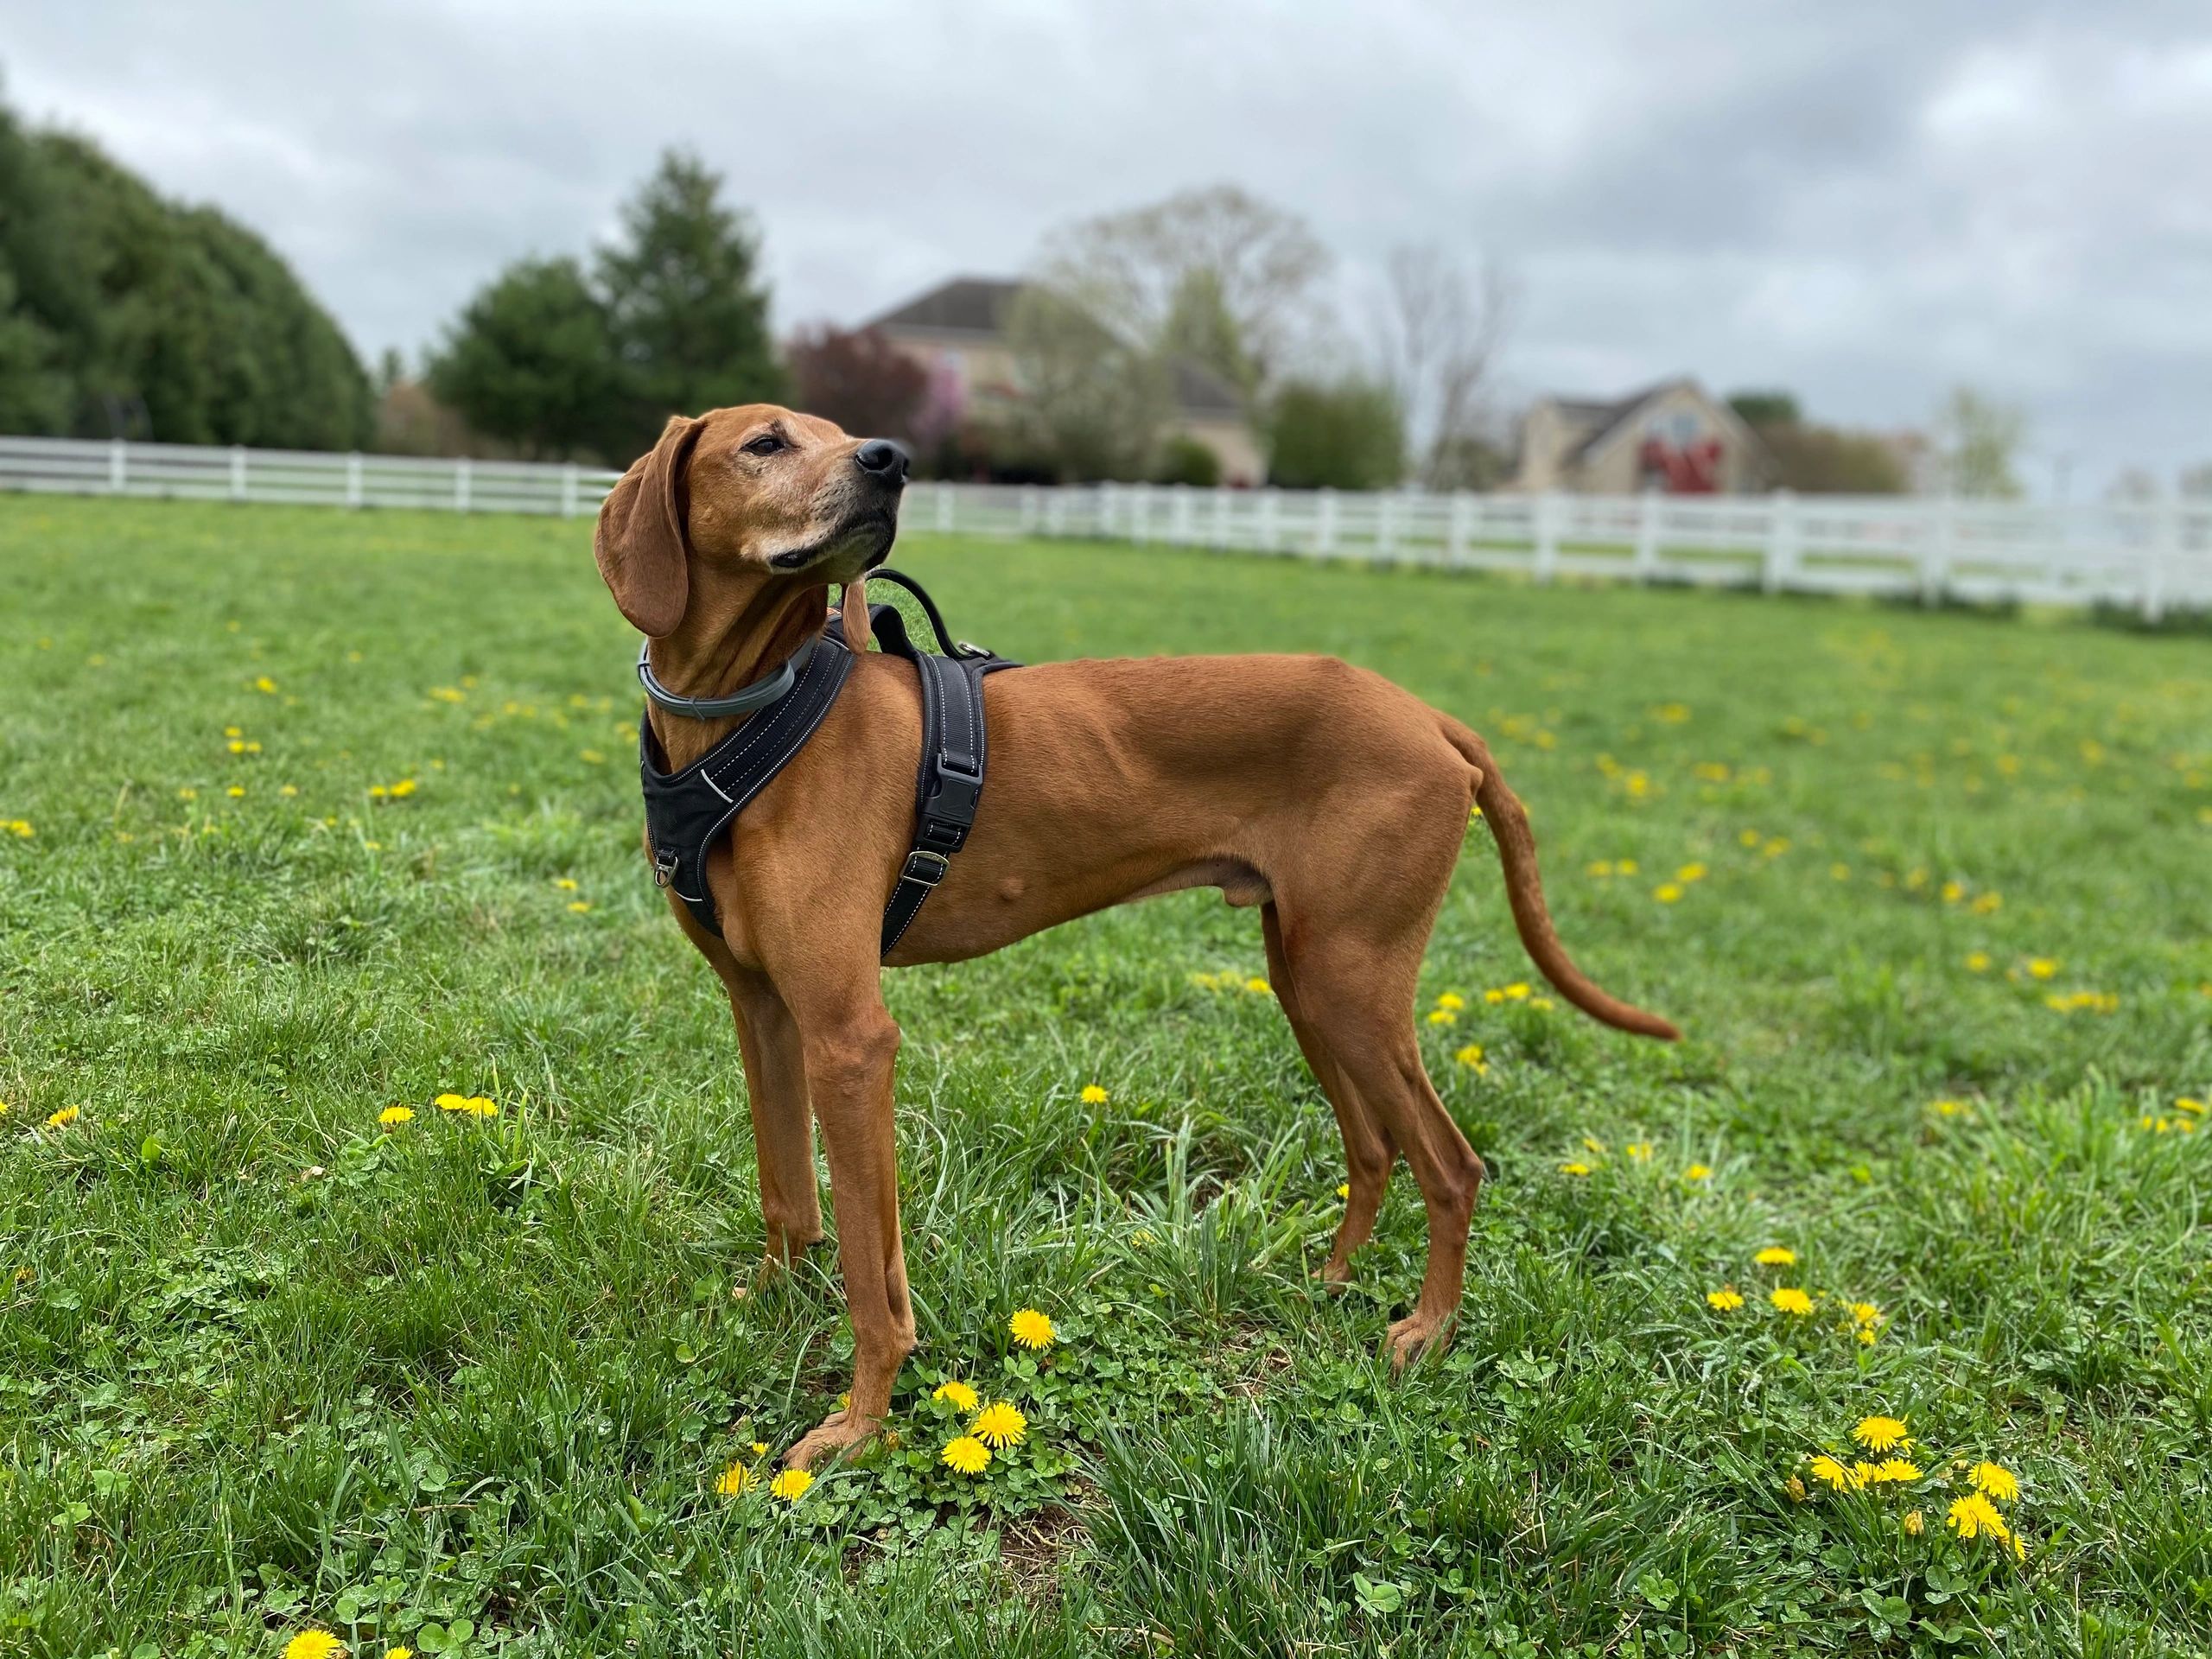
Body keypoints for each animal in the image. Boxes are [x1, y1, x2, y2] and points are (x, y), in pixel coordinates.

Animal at [593, 409, 1672, 1478]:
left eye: (837, 433)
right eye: (766, 443)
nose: (891, 462)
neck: (746, 712)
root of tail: (1433, 720)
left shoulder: (850, 1039)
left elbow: (869, 1274)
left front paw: (858, 1426)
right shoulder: (765, 1009)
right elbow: (789, 1191)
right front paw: (773, 1303)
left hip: (1351, 983)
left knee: (1451, 1166)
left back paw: (1428, 1330)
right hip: (1309, 978)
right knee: (1373, 1147)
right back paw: (1333, 1277)